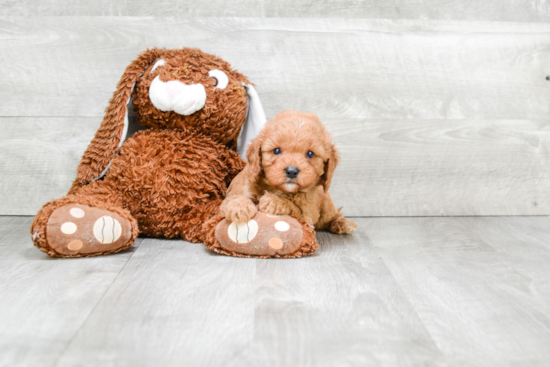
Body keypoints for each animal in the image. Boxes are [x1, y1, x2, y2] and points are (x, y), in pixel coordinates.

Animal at [222, 110, 360, 236]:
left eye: (310, 154)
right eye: (277, 150)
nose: (292, 171)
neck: (279, 188)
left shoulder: (307, 216)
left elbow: (294, 208)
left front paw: (274, 201)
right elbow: (233, 198)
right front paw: (239, 206)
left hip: (326, 206)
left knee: (331, 216)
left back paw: (343, 223)